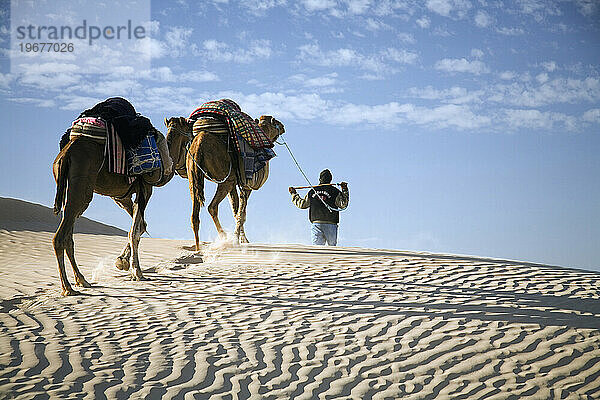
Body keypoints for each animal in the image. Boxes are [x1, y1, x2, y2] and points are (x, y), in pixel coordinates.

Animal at [52, 120, 186, 296]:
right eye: (189, 128)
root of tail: (66, 154)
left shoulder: (122, 196)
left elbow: (141, 226)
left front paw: (122, 262)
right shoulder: (145, 188)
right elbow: (134, 231)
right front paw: (137, 272)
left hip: (70, 188)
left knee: (69, 235)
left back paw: (82, 280)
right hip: (82, 186)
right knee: (61, 236)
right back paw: (68, 288)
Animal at [164, 114, 286, 248]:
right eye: (274, 122)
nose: (282, 126)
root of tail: (198, 144)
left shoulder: (234, 184)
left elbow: (236, 209)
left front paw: (240, 238)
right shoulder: (245, 185)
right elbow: (241, 213)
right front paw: (240, 240)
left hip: (194, 177)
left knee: (195, 216)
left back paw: (199, 248)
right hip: (224, 179)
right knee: (212, 207)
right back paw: (224, 238)